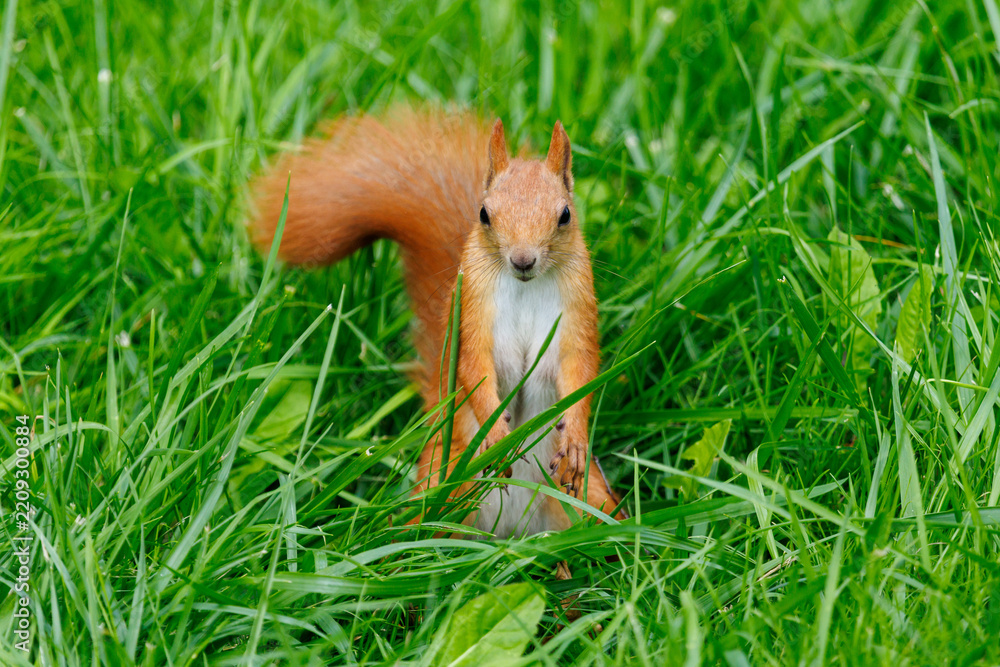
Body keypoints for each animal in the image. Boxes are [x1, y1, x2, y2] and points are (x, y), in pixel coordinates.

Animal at [250, 107, 625, 539]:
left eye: (565, 215)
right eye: (484, 214)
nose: (522, 260)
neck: (526, 288)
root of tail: (511, 533)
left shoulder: (577, 312)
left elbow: (580, 370)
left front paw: (576, 438)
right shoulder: (472, 312)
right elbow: (474, 368)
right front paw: (495, 434)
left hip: (589, 498)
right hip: (440, 483)